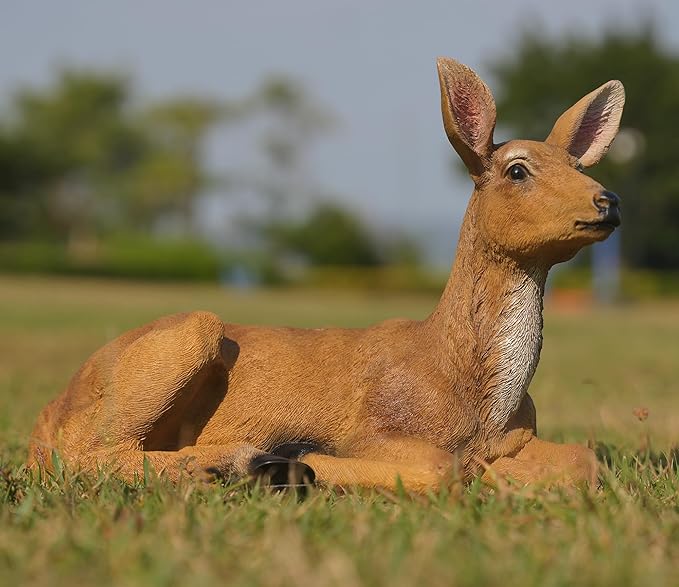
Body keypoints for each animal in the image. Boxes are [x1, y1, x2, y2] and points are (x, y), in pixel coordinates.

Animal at [28, 58, 625, 493]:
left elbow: (585, 460)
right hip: (184, 336)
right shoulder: (379, 425)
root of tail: (49, 412)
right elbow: (440, 469)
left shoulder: (517, 439)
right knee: (85, 453)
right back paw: (245, 464)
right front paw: (303, 460)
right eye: (517, 170)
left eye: (579, 167)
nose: (608, 201)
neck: (472, 397)